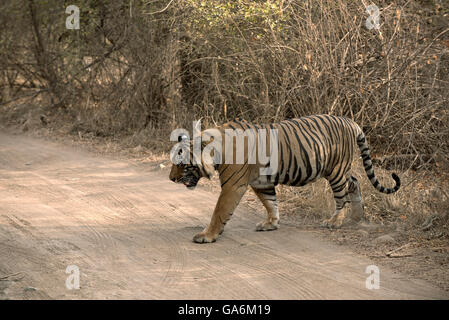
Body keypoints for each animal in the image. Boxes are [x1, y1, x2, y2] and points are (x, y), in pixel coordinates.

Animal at [168, 115, 400, 242]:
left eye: (181, 163)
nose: (171, 179)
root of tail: (351, 122)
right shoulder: (262, 182)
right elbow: (271, 203)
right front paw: (271, 223)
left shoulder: (233, 185)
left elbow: (219, 212)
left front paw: (207, 236)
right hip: (339, 169)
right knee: (355, 182)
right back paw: (358, 216)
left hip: (335, 170)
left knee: (342, 195)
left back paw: (335, 221)